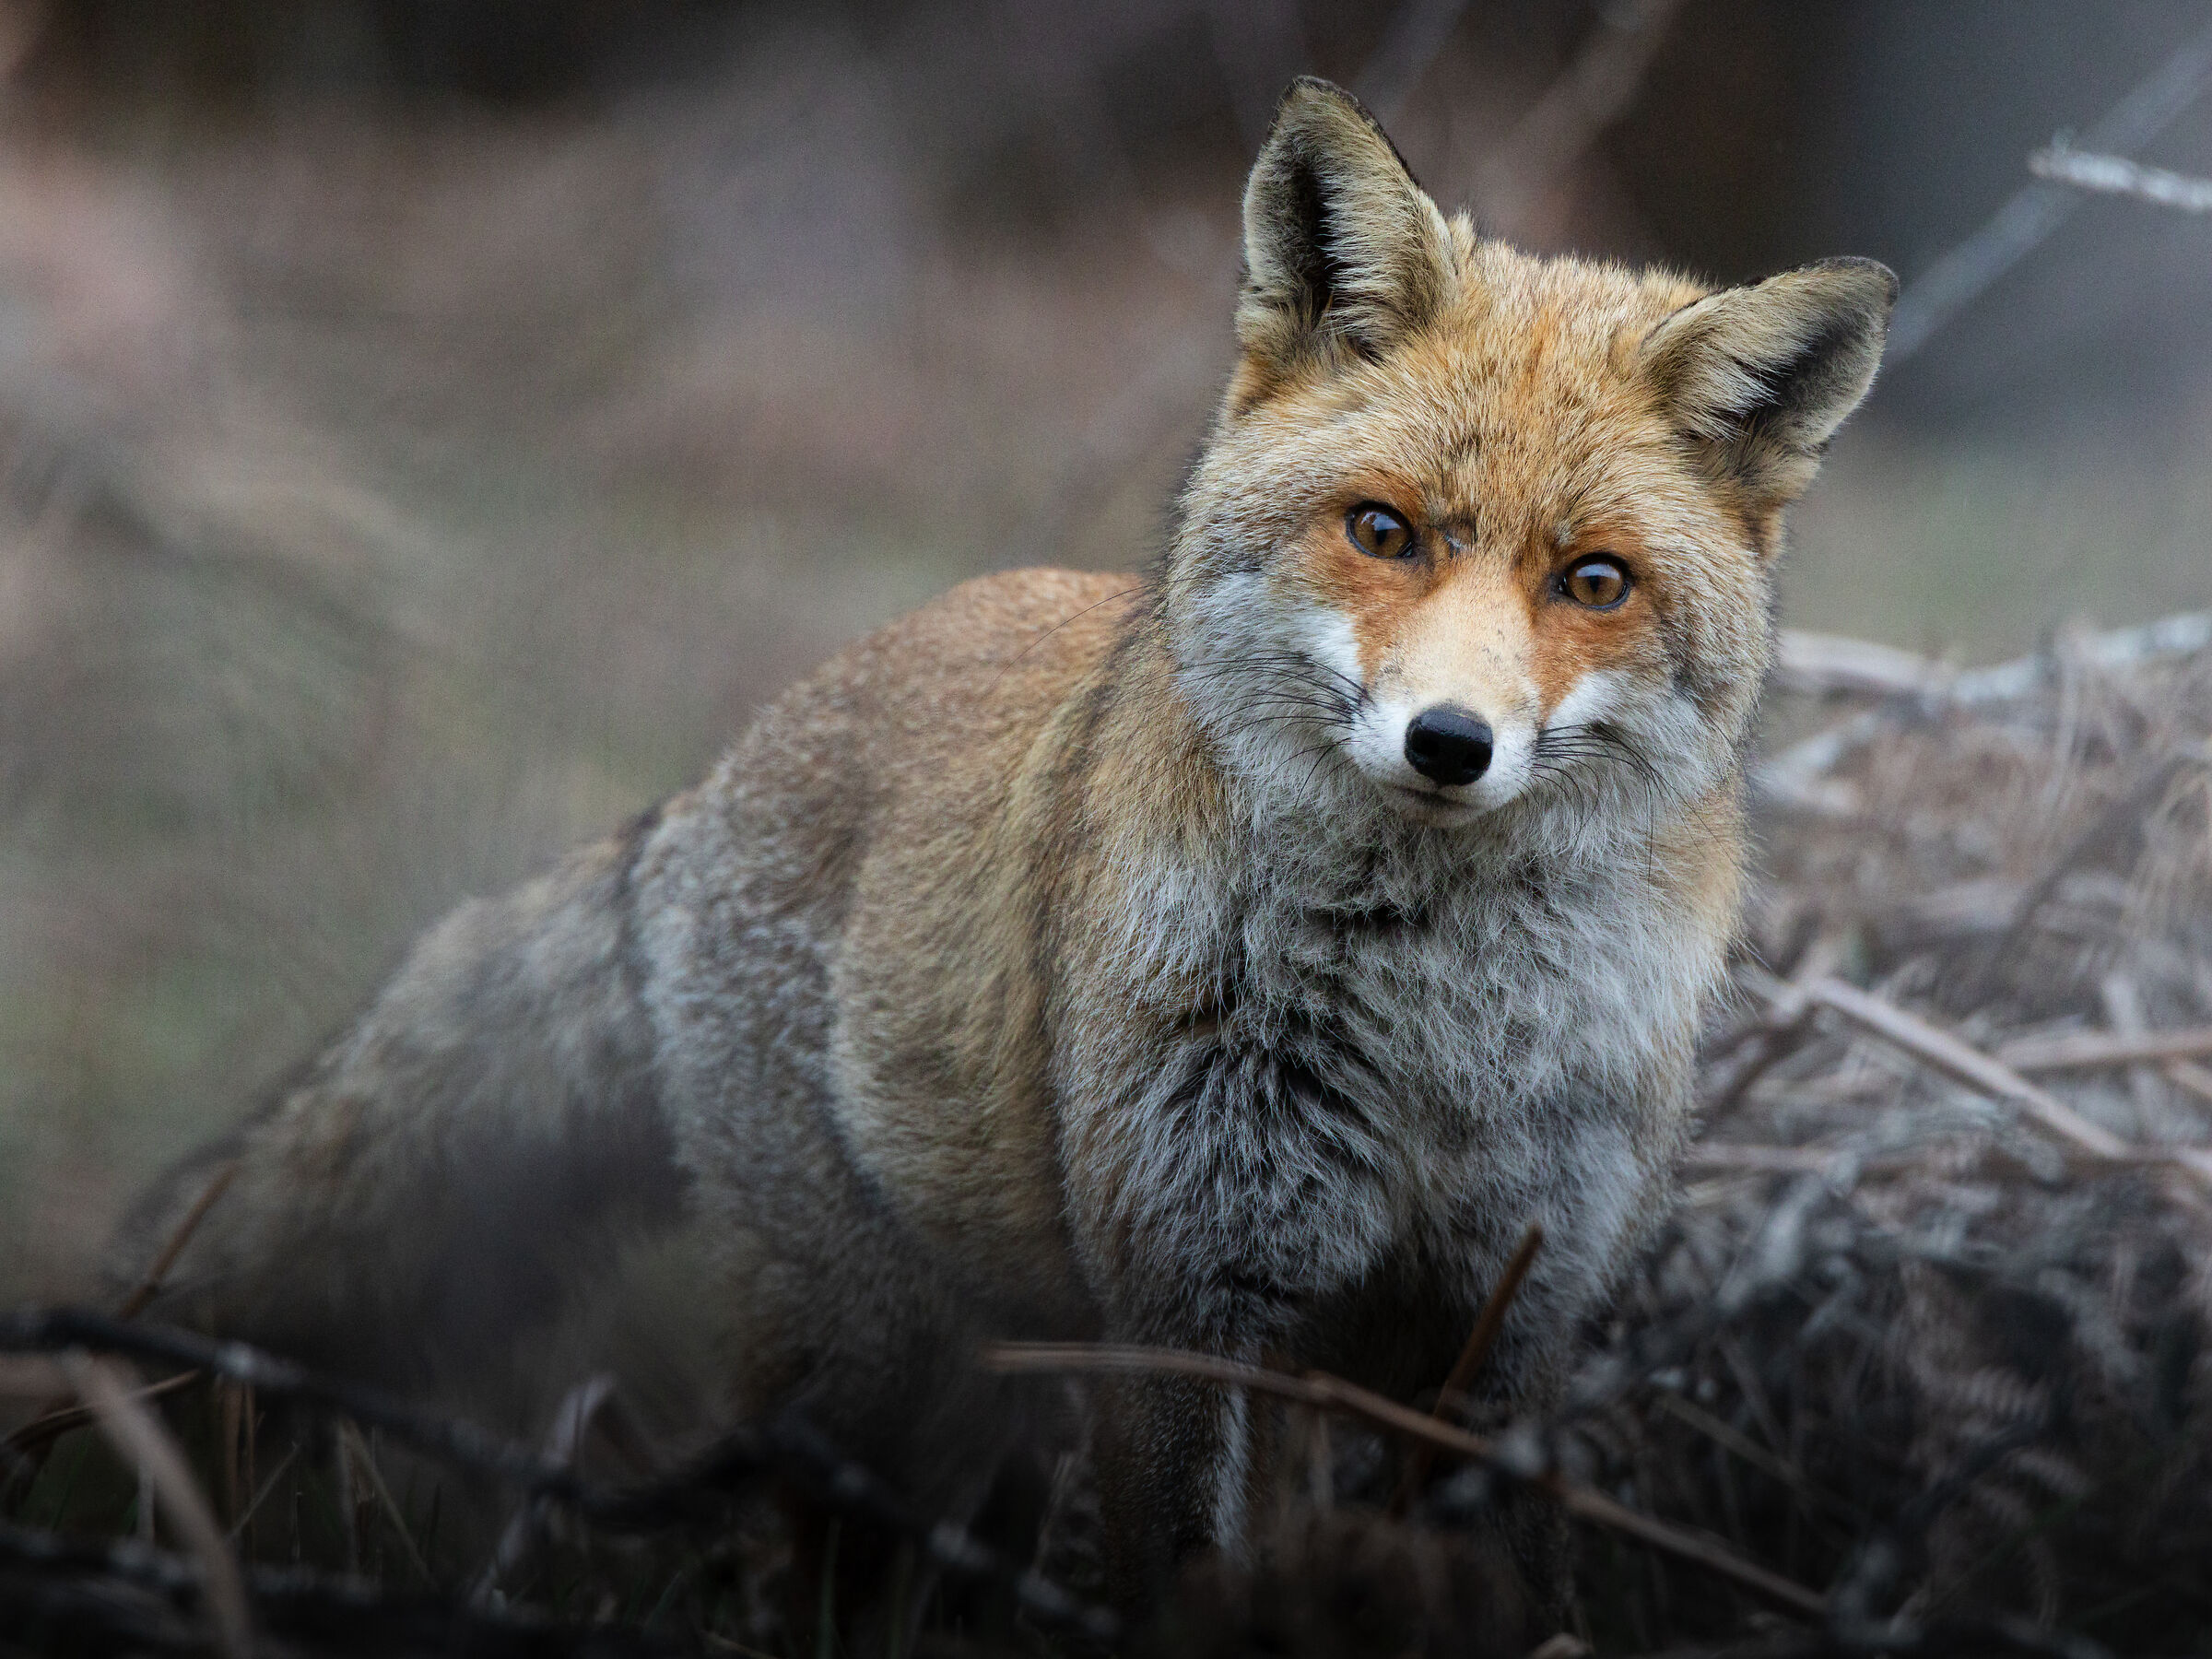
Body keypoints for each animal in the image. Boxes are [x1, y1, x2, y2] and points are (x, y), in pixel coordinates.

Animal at [117, 77, 1891, 1619]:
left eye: (1592, 582)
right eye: (1382, 532)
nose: (1450, 744)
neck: (1430, 1032)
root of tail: (707, 786)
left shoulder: (1498, 1324)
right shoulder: (1179, 1302)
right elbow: (1183, 1578)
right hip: (872, 1368)